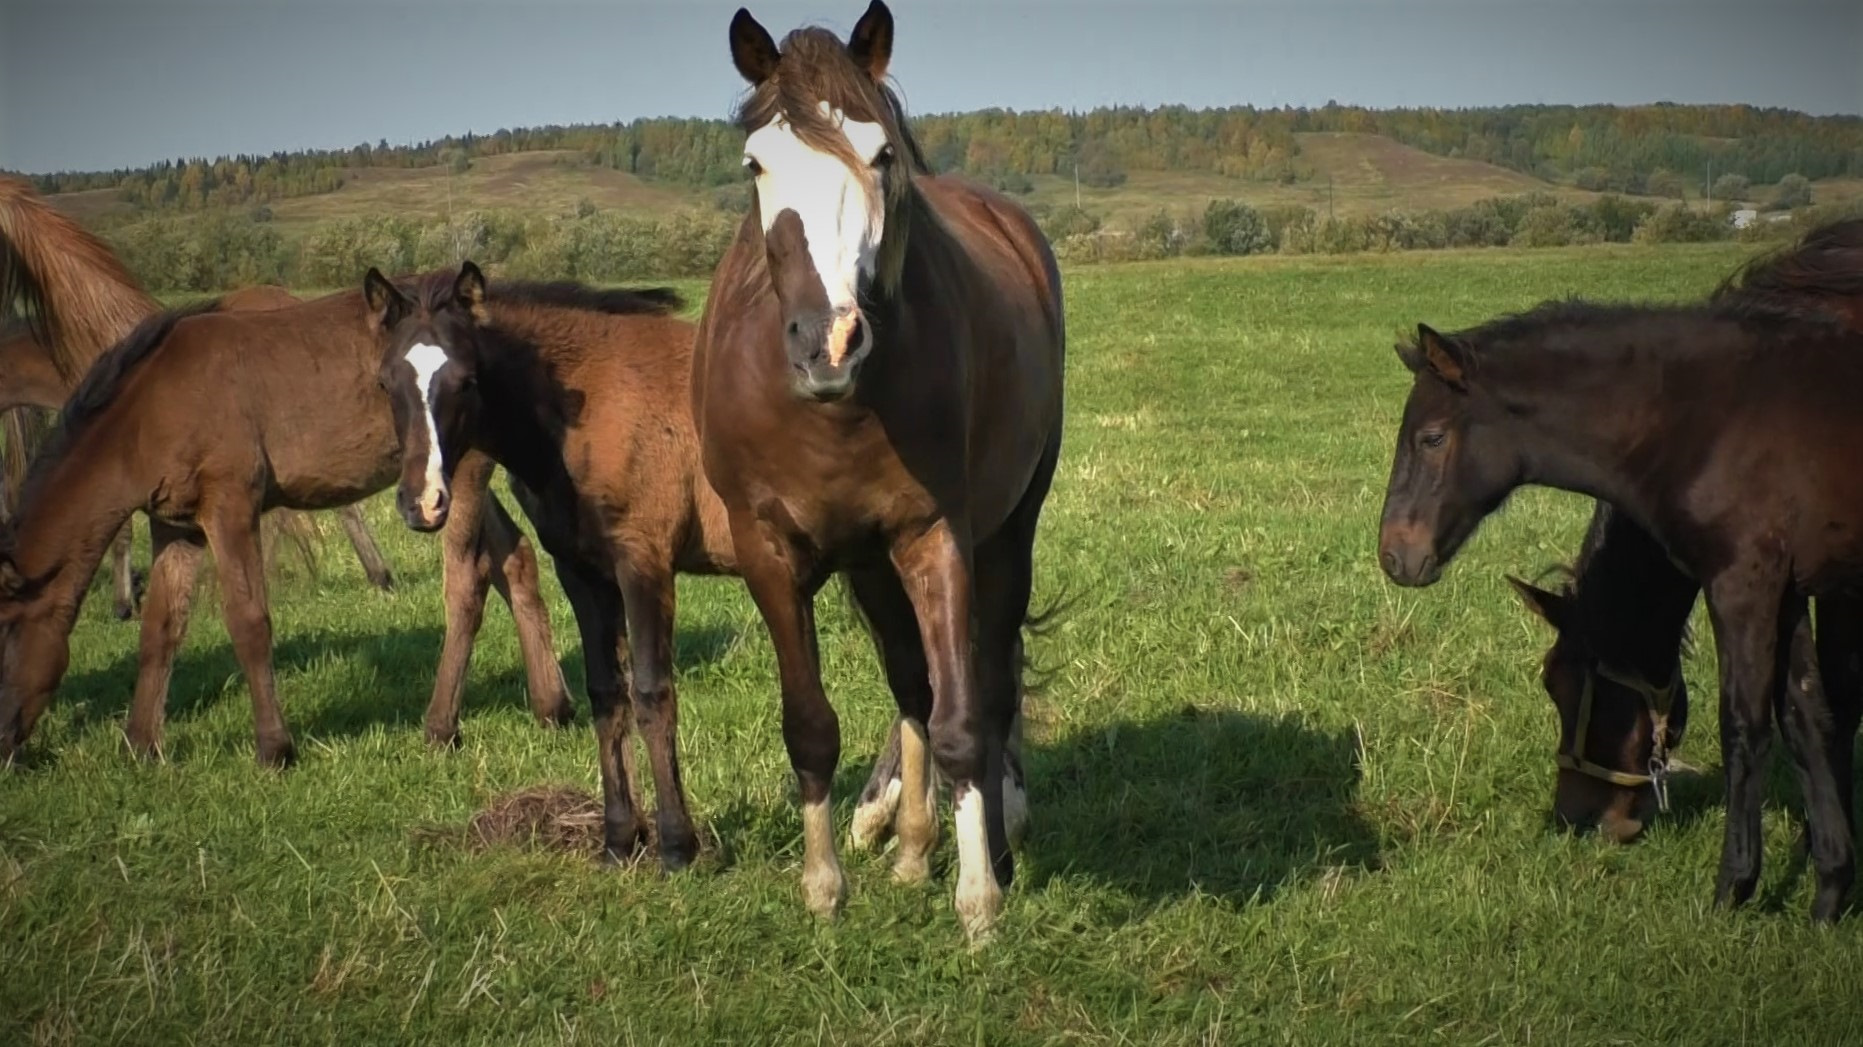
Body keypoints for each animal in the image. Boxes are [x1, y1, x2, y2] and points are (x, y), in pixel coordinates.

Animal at [0, 281, 573, 763]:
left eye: (3, 631)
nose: (4, 744)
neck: (151, 409)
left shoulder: (230, 505)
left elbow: (249, 621)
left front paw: (274, 747)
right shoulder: (175, 525)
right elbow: (161, 627)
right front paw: (140, 745)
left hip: (460, 474)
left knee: (467, 582)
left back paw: (441, 726)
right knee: (517, 559)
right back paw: (553, 706)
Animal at [367, 264, 730, 868]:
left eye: (467, 380)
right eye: (384, 382)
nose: (424, 502)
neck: (592, 406)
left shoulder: (643, 563)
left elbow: (652, 694)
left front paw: (678, 848)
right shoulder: (582, 570)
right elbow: (607, 693)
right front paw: (619, 841)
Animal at [693, 2, 1065, 938]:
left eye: (882, 153)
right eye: (756, 163)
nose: (827, 341)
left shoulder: (937, 538)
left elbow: (963, 716)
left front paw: (978, 899)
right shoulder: (769, 553)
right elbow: (811, 724)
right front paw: (825, 886)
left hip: (1007, 531)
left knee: (987, 674)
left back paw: (985, 842)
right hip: (869, 563)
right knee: (907, 679)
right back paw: (908, 846)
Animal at [1378, 298, 1863, 916]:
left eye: (1432, 438)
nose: (1395, 555)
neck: (1709, 421)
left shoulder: (1742, 584)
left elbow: (1744, 728)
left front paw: (1732, 891)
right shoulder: (1790, 591)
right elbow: (1806, 720)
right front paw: (1828, 894)